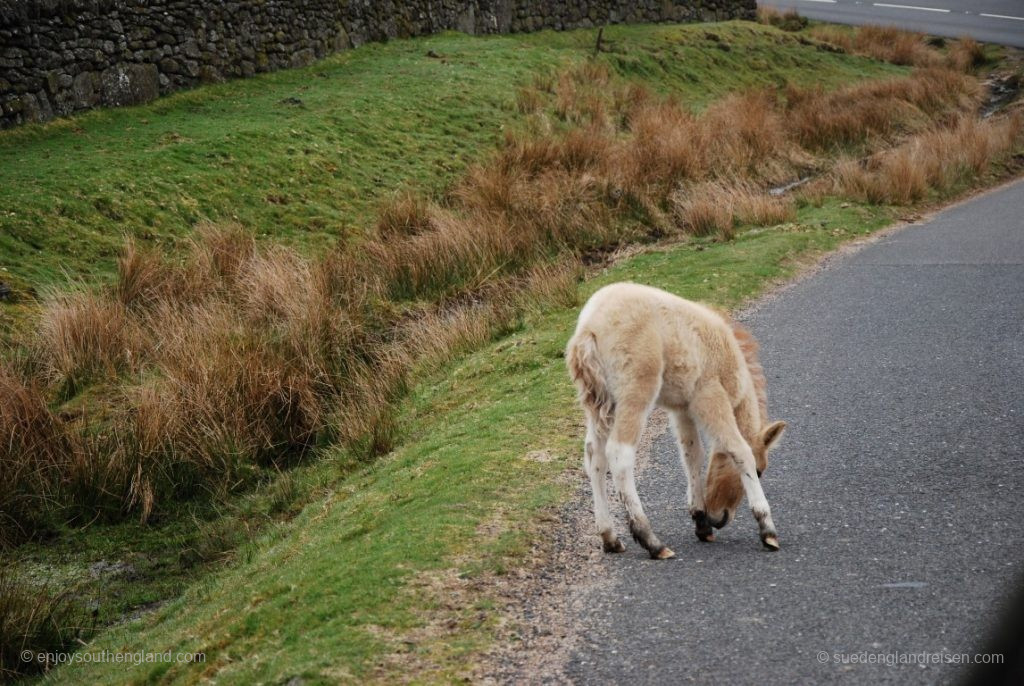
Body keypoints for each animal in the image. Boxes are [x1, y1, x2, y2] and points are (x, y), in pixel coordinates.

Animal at [565, 282, 786, 556]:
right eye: (759, 471)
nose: (719, 519)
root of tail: (588, 330)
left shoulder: (682, 406)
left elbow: (692, 454)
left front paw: (701, 521)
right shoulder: (709, 395)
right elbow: (739, 449)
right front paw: (767, 530)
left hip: (598, 404)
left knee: (594, 456)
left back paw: (610, 538)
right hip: (635, 392)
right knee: (619, 453)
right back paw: (652, 541)